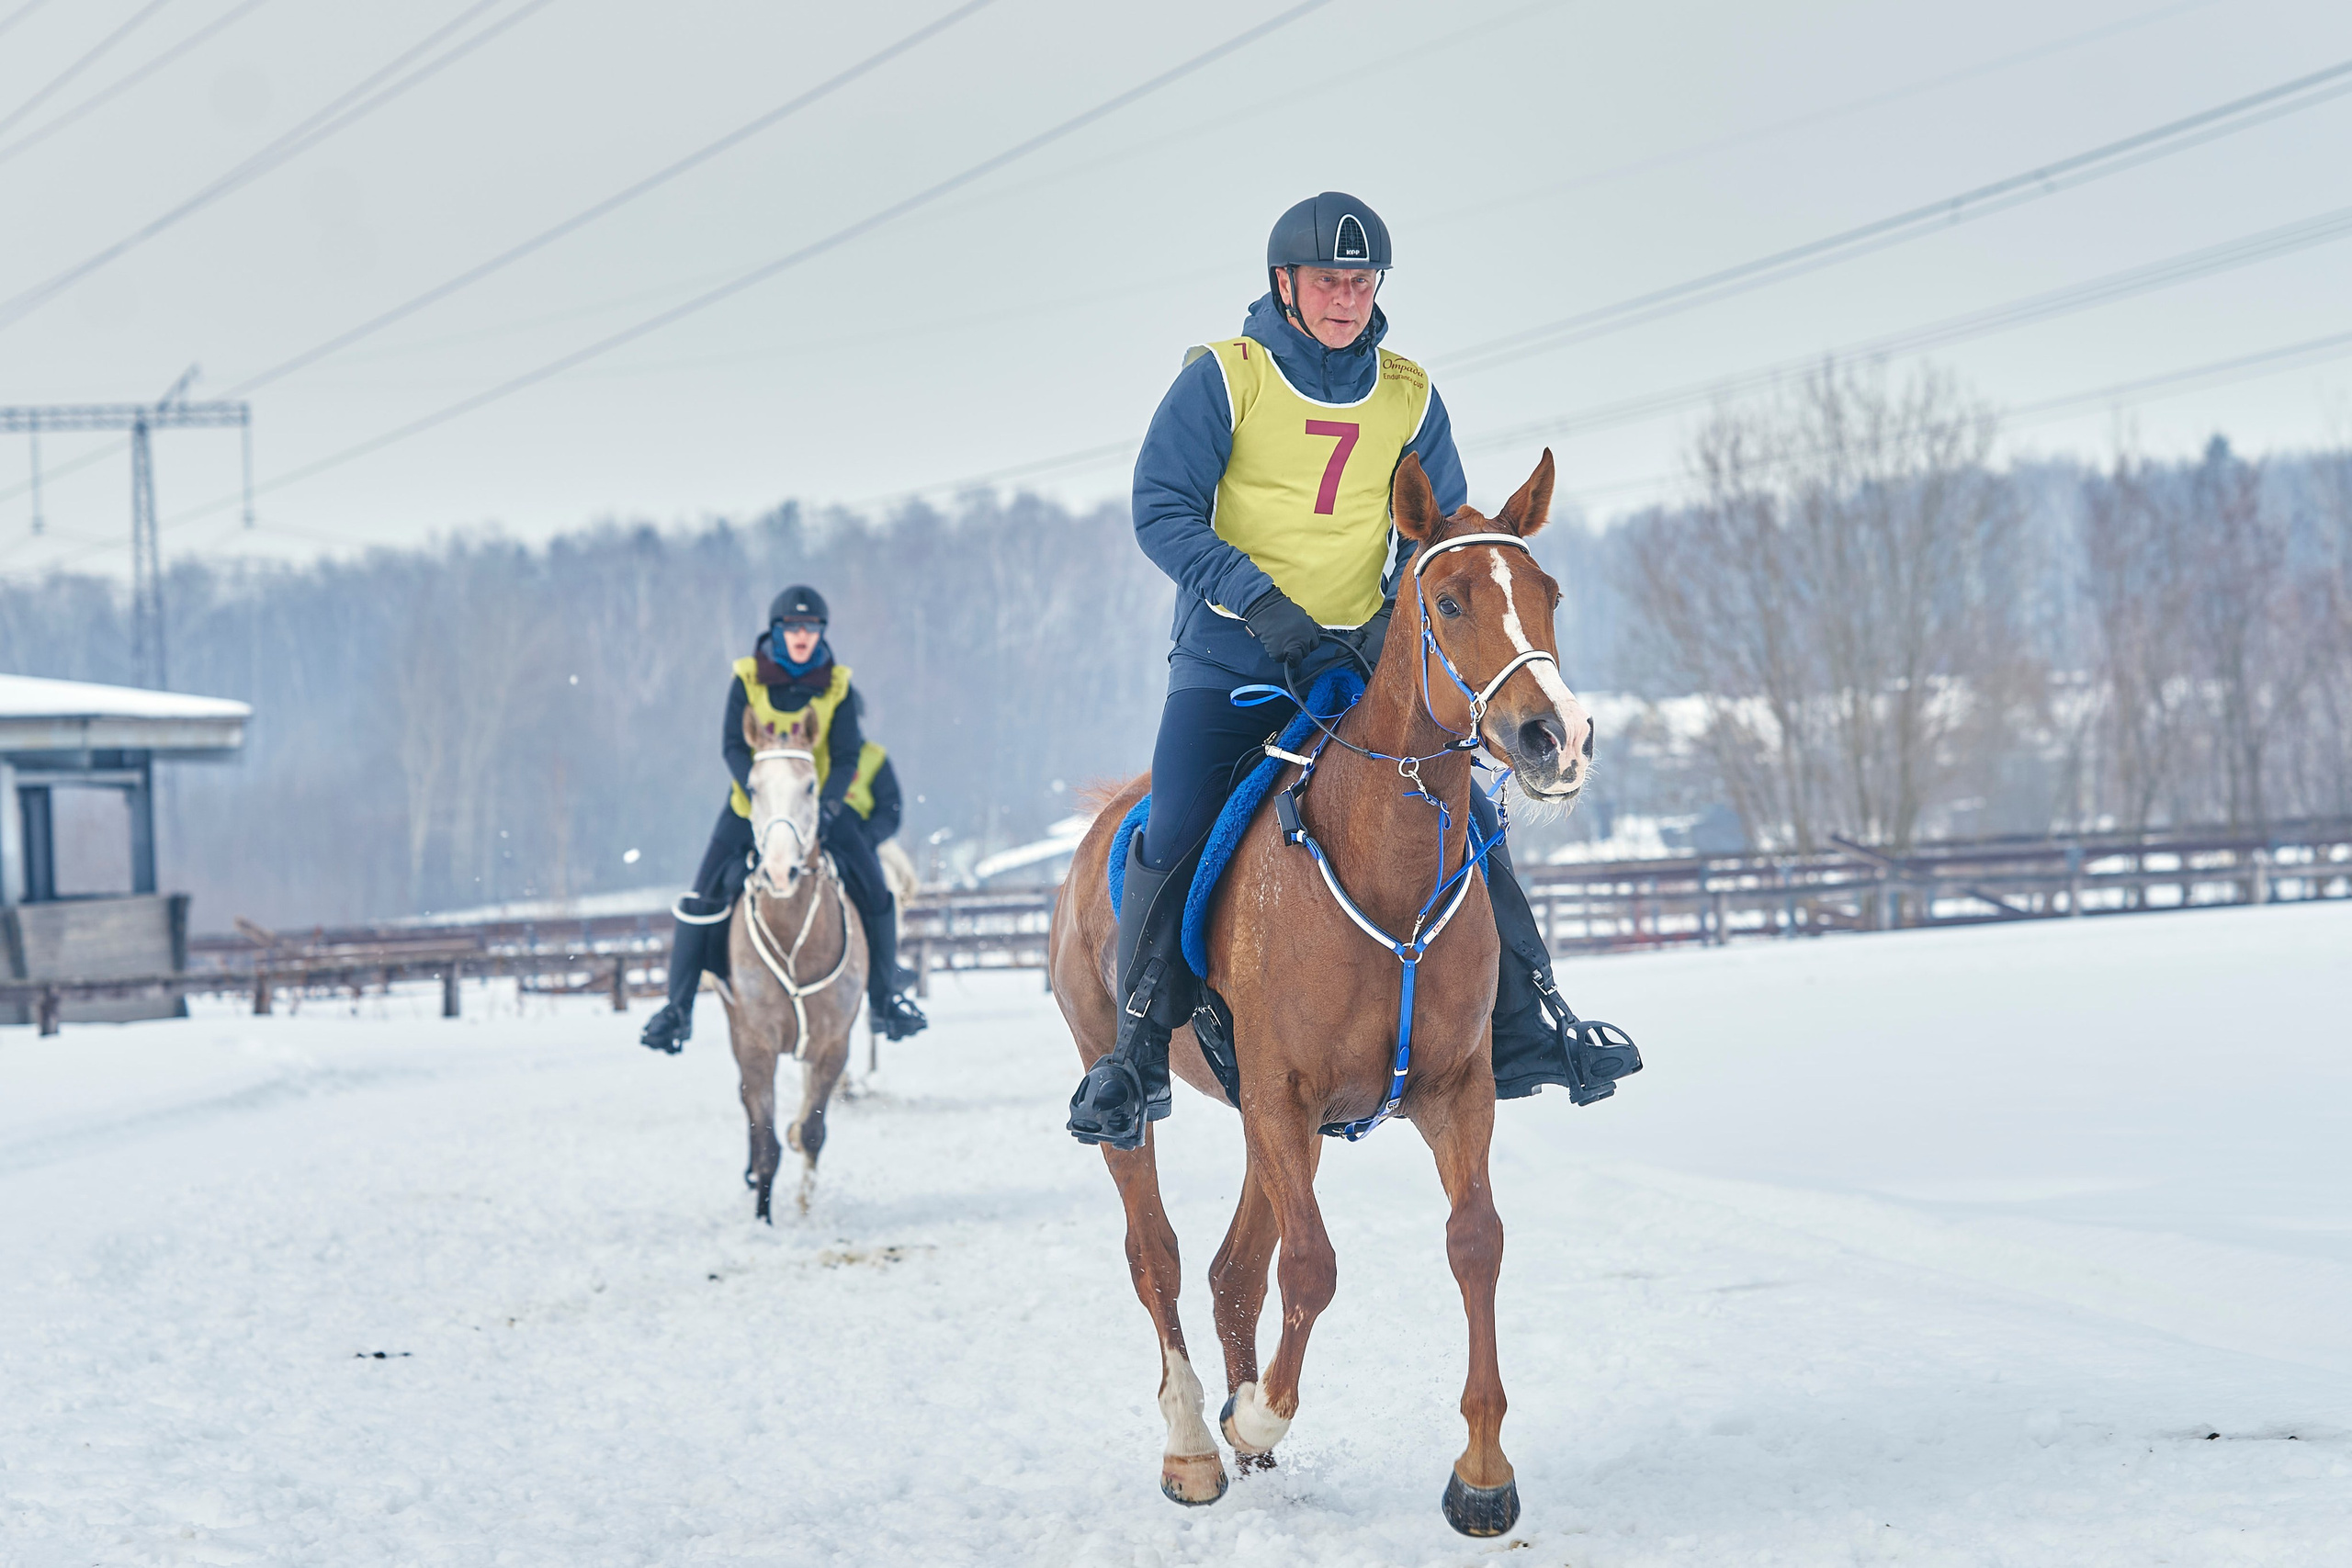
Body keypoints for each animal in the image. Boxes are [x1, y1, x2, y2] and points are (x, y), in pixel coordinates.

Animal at [721, 706, 868, 1223]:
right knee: (747, 1107)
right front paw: (763, 1221)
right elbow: (765, 1136)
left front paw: (803, 1206)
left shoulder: (832, 1045)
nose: (780, 871)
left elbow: (811, 1131)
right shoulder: (755, 1045)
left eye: (809, 786)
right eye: (753, 785)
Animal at [1046, 449, 1590, 1535]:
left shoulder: (1452, 1092)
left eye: (1546, 593)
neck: (1383, 861)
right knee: (1159, 1256)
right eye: (1450, 600)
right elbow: (1312, 1265)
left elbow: (1474, 1243)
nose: (1555, 735)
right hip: (1141, 1089)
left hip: (1274, 1120)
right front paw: (1258, 1413)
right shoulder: (1282, 1095)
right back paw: (1197, 1445)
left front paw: (1482, 1474)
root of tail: (1101, 826)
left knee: (1230, 1270)